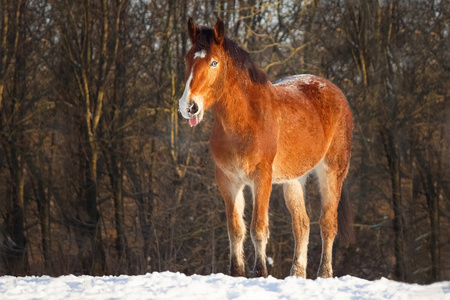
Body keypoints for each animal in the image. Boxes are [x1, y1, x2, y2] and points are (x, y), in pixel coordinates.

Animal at [178, 17, 354, 278]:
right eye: (187, 59)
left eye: (213, 62)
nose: (188, 106)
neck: (246, 120)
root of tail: (335, 92)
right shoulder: (228, 180)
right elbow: (235, 229)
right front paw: (236, 273)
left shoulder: (261, 178)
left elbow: (258, 228)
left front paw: (260, 272)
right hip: (294, 179)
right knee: (301, 225)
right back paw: (296, 274)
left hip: (332, 171)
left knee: (327, 223)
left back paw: (324, 273)